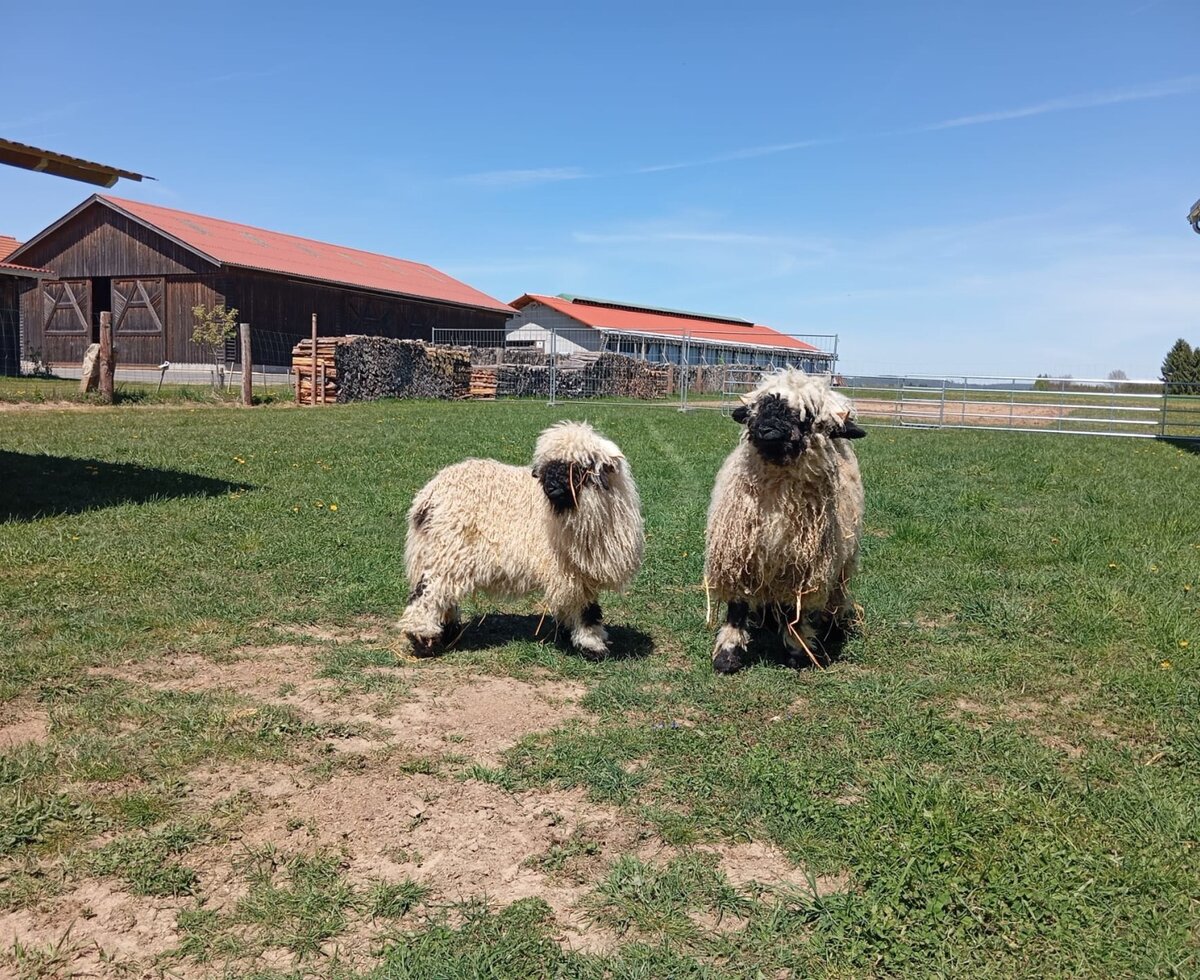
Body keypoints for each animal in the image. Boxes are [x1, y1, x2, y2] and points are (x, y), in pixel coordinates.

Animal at [397, 420, 644, 660]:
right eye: (547, 468)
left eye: (579, 467)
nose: (551, 487)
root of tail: (428, 496)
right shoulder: (571, 569)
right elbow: (586, 609)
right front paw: (592, 646)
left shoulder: (577, 571)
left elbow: (581, 605)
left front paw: (572, 634)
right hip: (448, 549)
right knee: (427, 593)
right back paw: (423, 639)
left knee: (443, 595)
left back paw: (448, 633)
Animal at [703, 368, 866, 673]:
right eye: (759, 406)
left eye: (808, 415)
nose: (767, 429)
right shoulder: (739, 554)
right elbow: (736, 609)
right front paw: (727, 655)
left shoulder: (799, 566)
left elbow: (794, 612)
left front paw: (797, 651)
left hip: (843, 561)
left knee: (837, 592)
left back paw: (834, 624)